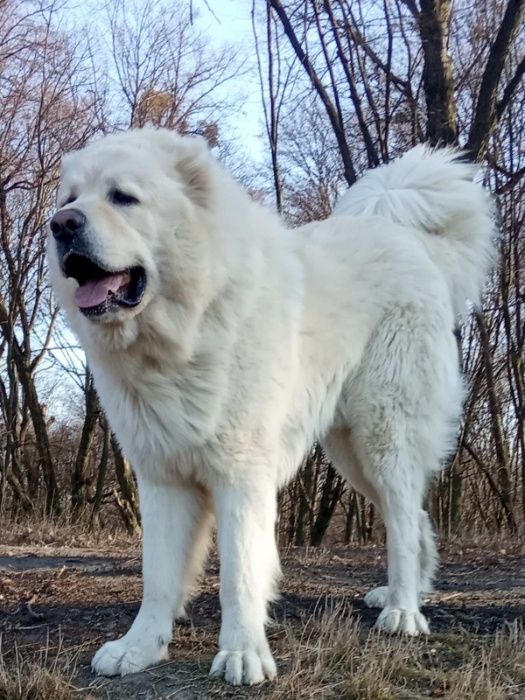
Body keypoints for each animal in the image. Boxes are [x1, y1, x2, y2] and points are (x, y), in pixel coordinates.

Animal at [47, 129, 494, 688]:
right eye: (70, 198)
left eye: (123, 197)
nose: (61, 224)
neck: (187, 329)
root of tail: (405, 237)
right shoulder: (162, 477)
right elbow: (158, 575)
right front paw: (139, 648)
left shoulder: (241, 475)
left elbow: (239, 573)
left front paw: (242, 654)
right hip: (351, 451)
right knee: (412, 519)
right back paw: (400, 594)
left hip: (384, 438)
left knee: (404, 523)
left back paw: (404, 612)